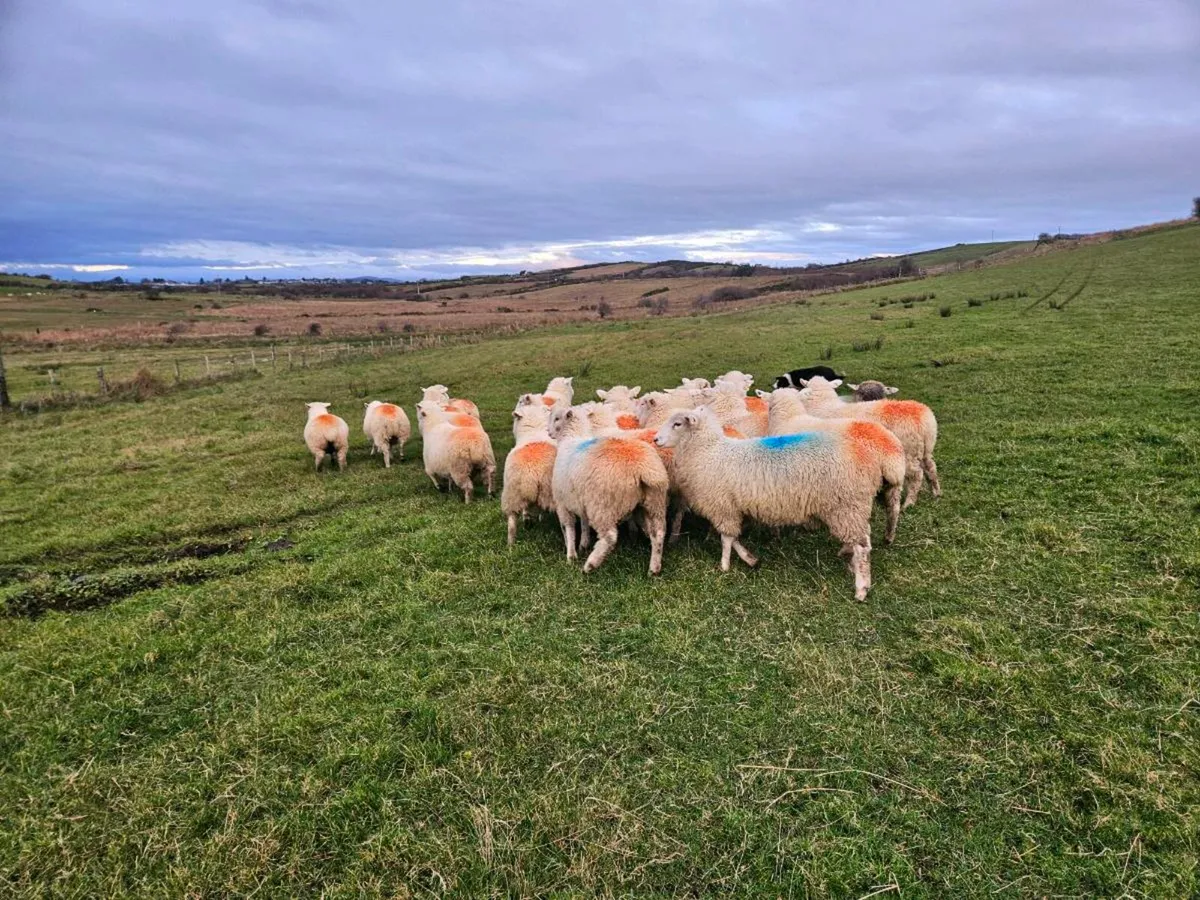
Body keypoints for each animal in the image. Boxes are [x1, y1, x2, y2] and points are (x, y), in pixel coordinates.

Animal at [548, 405, 669, 575]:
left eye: (557, 418)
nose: (548, 432)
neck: (570, 439)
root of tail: (641, 468)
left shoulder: (562, 502)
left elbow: (569, 528)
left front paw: (571, 555)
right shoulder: (580, 500)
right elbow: (584, 523)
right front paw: (583, 543)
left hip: (602, 505)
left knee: (610, 536)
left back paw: (591, 564)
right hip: (654, 501)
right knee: (658, 533)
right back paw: (654, 568)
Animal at [654, 408, 905, 600]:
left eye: (677, 423)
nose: (656, 439)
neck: (707, 452)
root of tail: (870, 460)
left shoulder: (722, 506)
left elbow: (726, 539)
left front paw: (724, 566)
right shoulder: (731, 508)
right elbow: (734, 538)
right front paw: (751, 559)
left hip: (846, 505)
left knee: (863, 546)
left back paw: (861, 588)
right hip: (850, 508)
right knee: (862, 538)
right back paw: (850, 559)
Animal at [797, 376, 939, 507]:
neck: (823, 403)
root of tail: (924, 419)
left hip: (909, 451)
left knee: (917, 475)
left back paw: (909, 503)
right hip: (926, 447)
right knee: (931, 467)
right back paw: (936, 492)